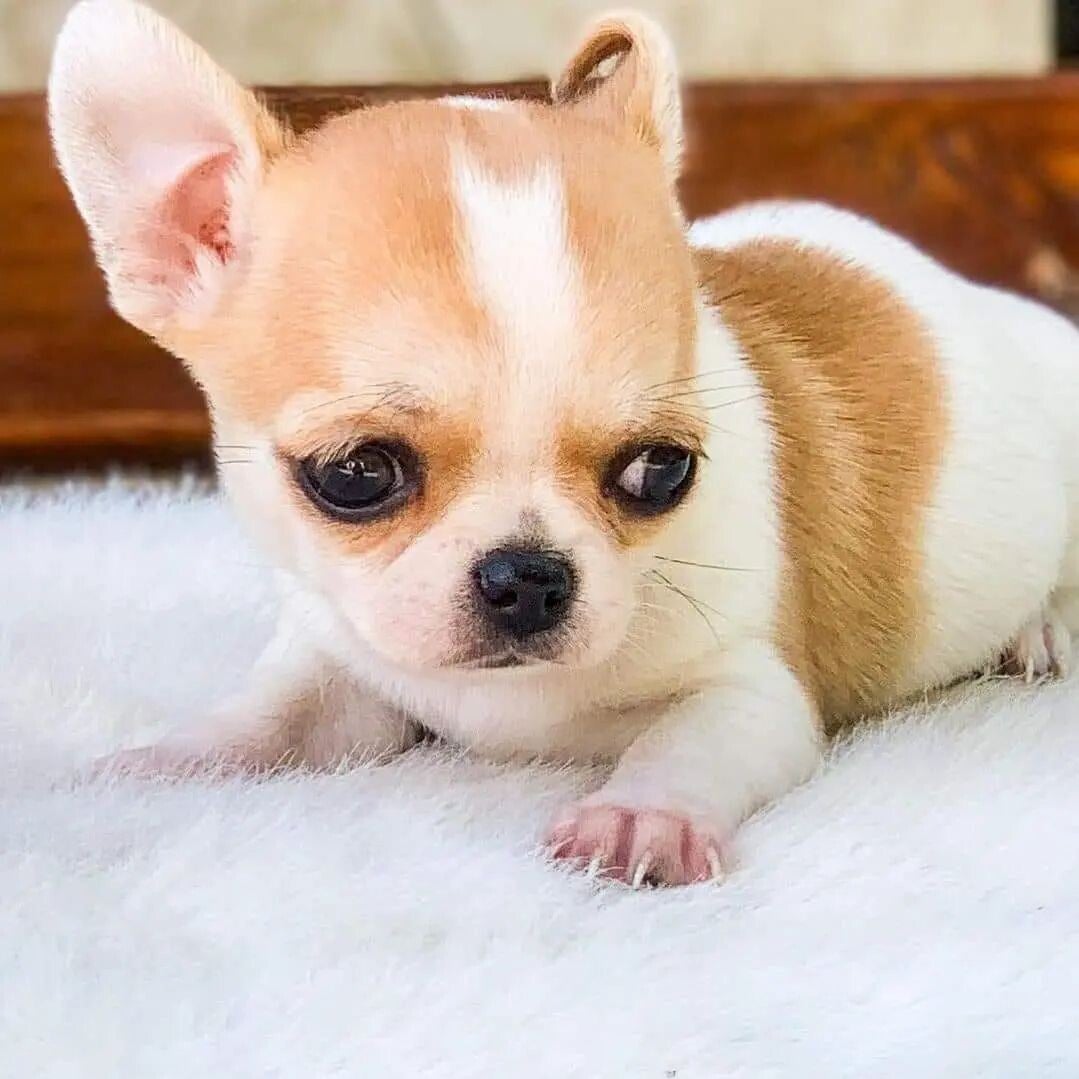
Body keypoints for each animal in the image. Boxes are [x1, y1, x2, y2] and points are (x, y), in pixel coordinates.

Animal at [49, 0, 1079, 886]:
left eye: (661, 469)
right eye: (356, 473)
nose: (527, 574)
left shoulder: (750, 688)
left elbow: (685, 739)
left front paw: (640, 816)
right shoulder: (341, 660)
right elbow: (272, 714)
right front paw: (169, 761)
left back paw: (1041, 625)